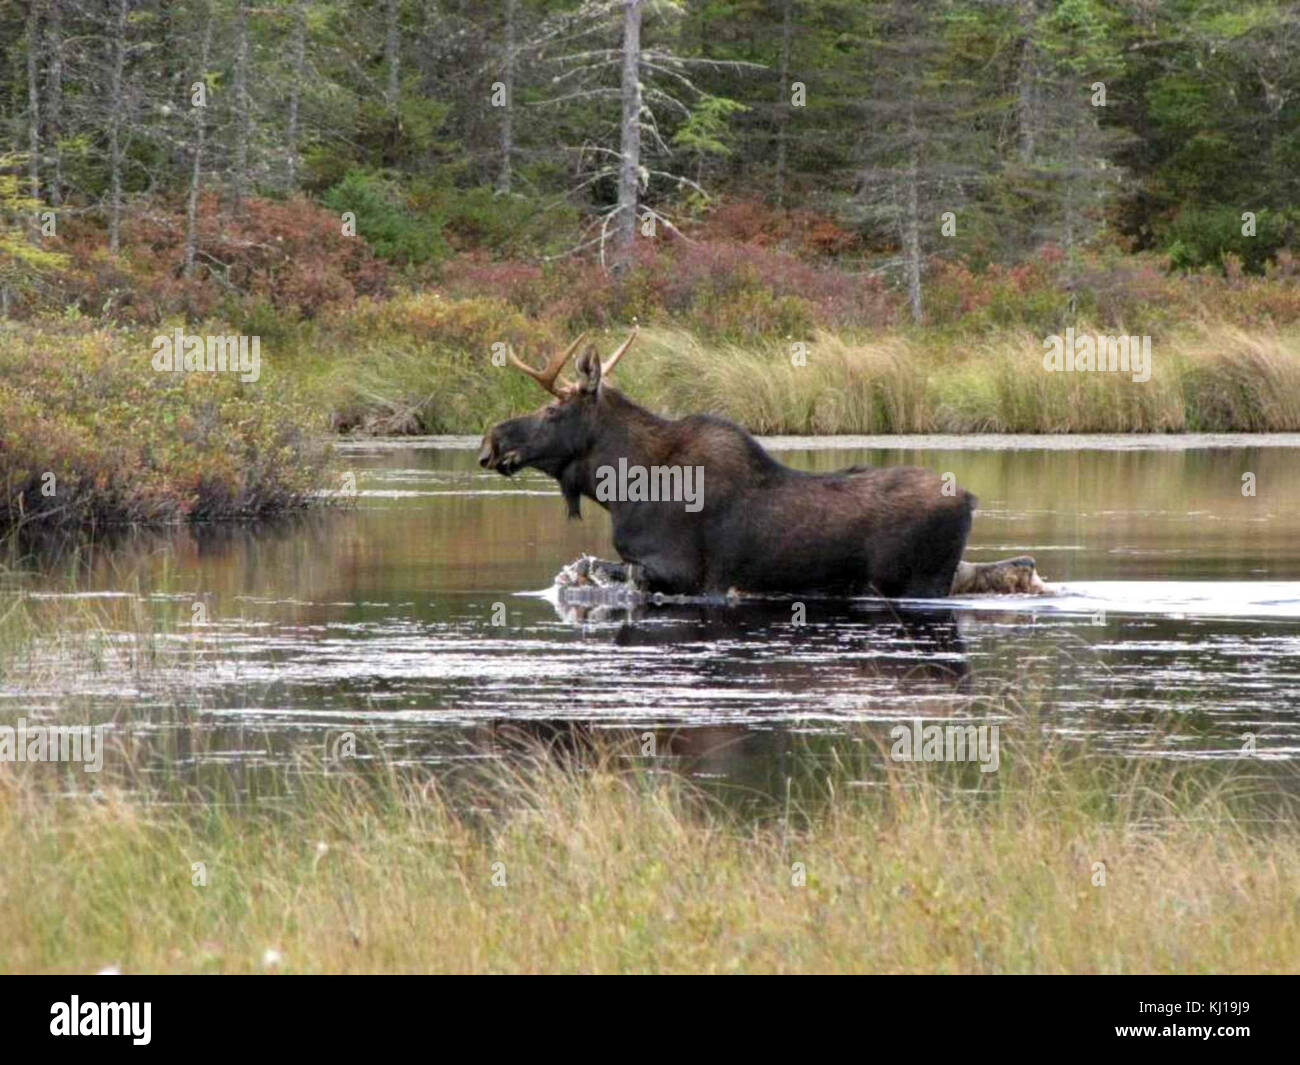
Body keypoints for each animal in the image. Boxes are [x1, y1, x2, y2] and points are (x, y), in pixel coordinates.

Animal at [478, 328, 1045, 600]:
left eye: (552, 410)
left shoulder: (682, 574)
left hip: (916, 581)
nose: (491, 440)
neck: (621, 489)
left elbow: (590, 570)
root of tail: (970, 498)